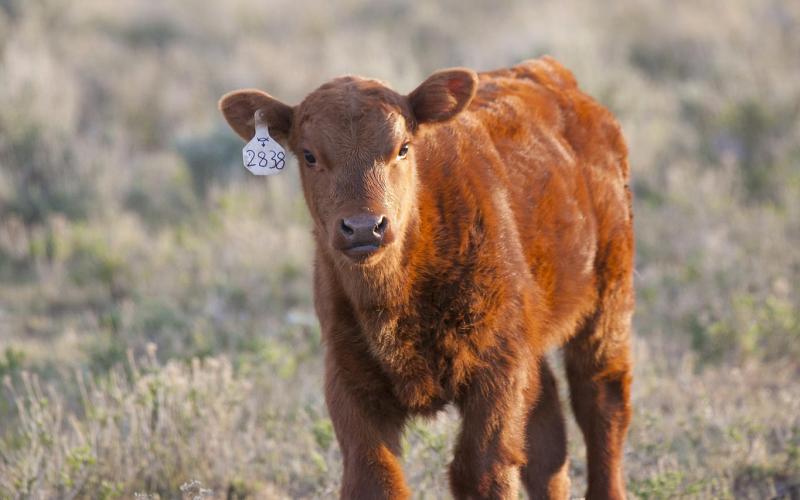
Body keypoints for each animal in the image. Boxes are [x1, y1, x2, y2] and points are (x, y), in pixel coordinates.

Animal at [219, 56, 634, 500]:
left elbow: (482, 470)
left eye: (402, 148)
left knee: (601, 399)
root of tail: (552, 74)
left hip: (608, 300)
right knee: (547, 432)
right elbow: (375, 477)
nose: (364, 228)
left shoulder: (497, 367)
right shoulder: (347, 377)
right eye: (310, 155)